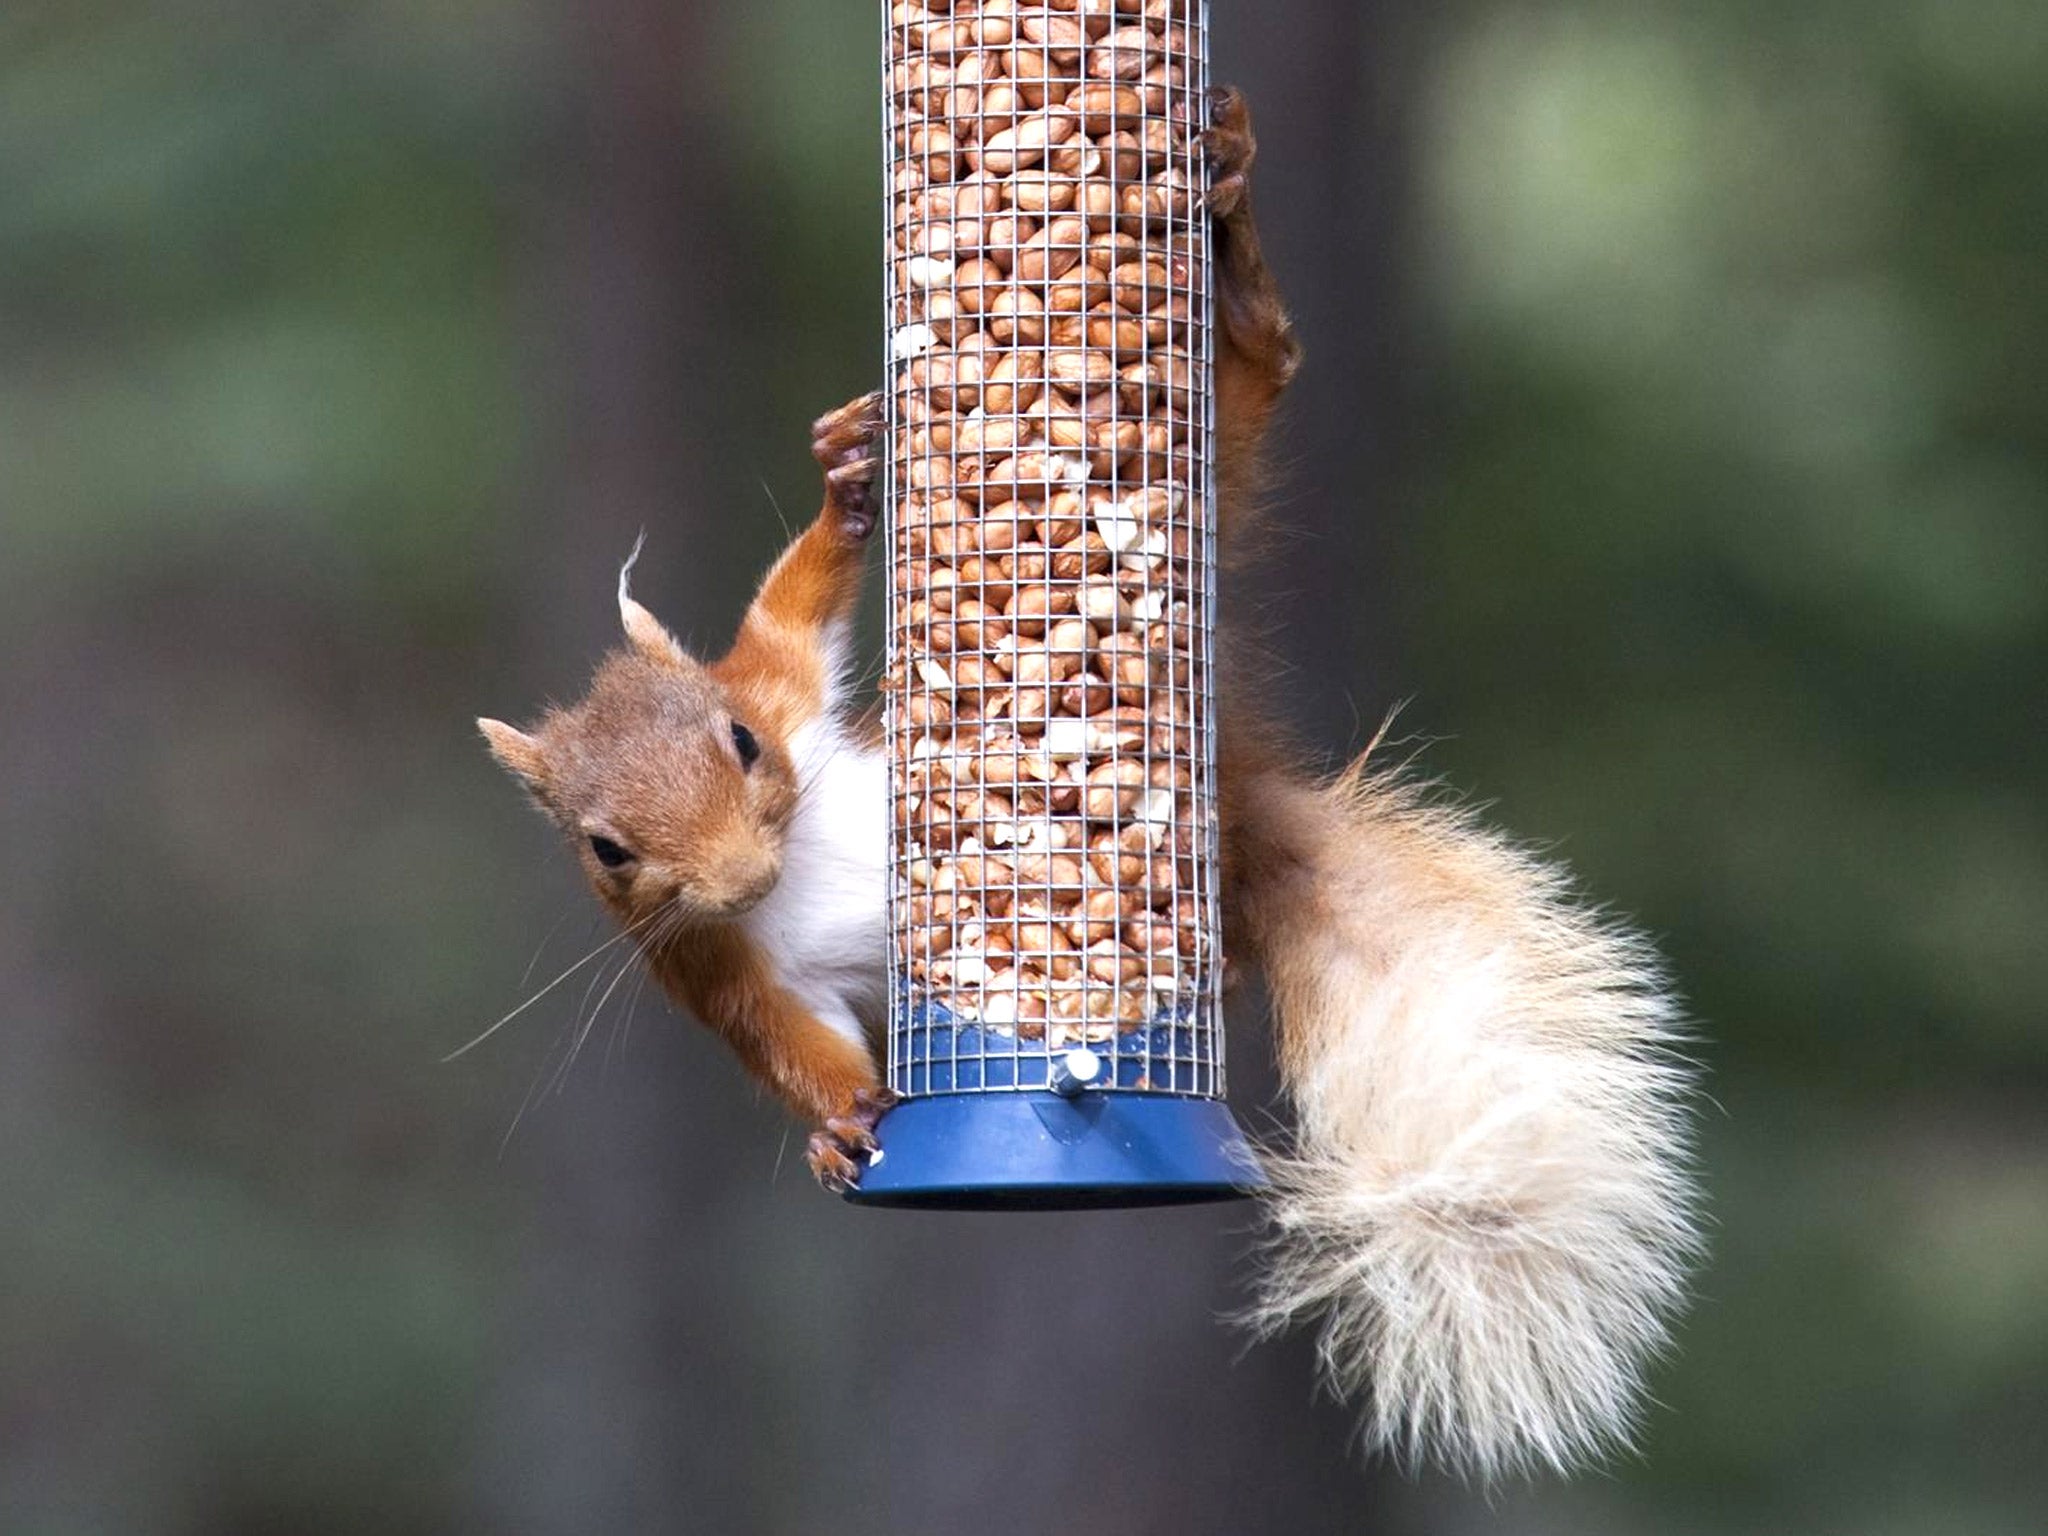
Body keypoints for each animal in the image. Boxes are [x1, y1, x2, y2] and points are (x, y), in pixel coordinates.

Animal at [475, 93, 1695, 1482]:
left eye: (739, 743)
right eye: (606, 852)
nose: (739, 875)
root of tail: (1231, 811)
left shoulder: (782, 684)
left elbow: (792, 607)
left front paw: (847, 474)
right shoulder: (702, 963)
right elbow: (782, 1038)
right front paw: (840, 1124)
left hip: (1200, 484)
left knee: (1256, 388)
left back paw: (1235, 263)